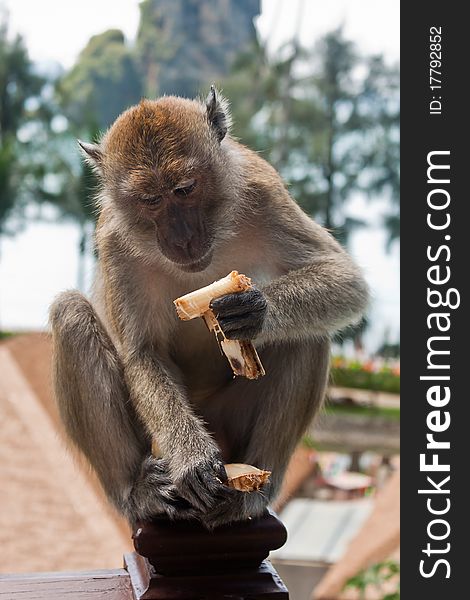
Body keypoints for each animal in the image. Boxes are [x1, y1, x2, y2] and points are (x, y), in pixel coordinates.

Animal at [48, 86, 370, 528]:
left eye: (185, 189)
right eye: (151, 200)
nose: (181, 239)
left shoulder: (262, 189)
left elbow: (344, 278)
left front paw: (255, 311)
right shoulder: (113, 238)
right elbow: (143, 353)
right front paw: (191, 458)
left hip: (230, 424)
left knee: (308, 335)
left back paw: (255, 491)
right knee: (71, 314)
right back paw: (138, 491)